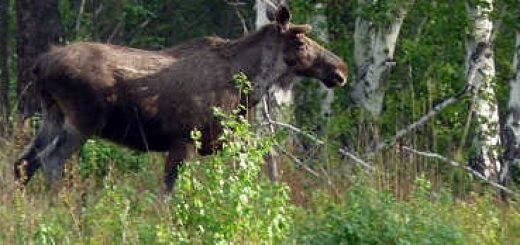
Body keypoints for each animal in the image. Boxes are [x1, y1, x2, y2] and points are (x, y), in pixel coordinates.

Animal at [14, 5, 348, 191]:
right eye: (301, 41)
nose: (340, 68)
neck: (248, 86)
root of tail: (39, 65)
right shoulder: (185, 139)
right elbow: (170, 191)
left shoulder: (220, 140)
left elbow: (265, 158)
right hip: (82, 120)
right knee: (50, 160)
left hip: (52, 114)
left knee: (24, 161)